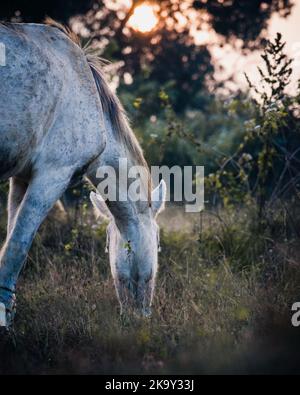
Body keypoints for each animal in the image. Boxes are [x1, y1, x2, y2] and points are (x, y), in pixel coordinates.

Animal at [0, 21, 166, 330]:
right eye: (158, 243)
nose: (140, 318)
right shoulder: (52, 175)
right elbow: (16, 248)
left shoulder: (21, 178)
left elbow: (9, 242)